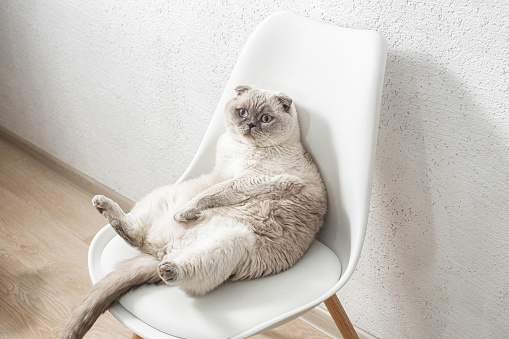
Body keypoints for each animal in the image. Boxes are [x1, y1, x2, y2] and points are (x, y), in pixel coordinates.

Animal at [60, 85, 326, 339]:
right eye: (242, 112)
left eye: (266, 118)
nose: (250, 124)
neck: (241, 148)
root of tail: (163, 252)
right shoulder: (223, 175)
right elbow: (213, 191)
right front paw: (187, 213)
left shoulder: (253, 180)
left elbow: (213, 194)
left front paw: (187, 213)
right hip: (166, 194)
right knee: (135, 235)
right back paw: (103, 204)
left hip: (233, 241)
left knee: (180, 270)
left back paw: (169, 268)